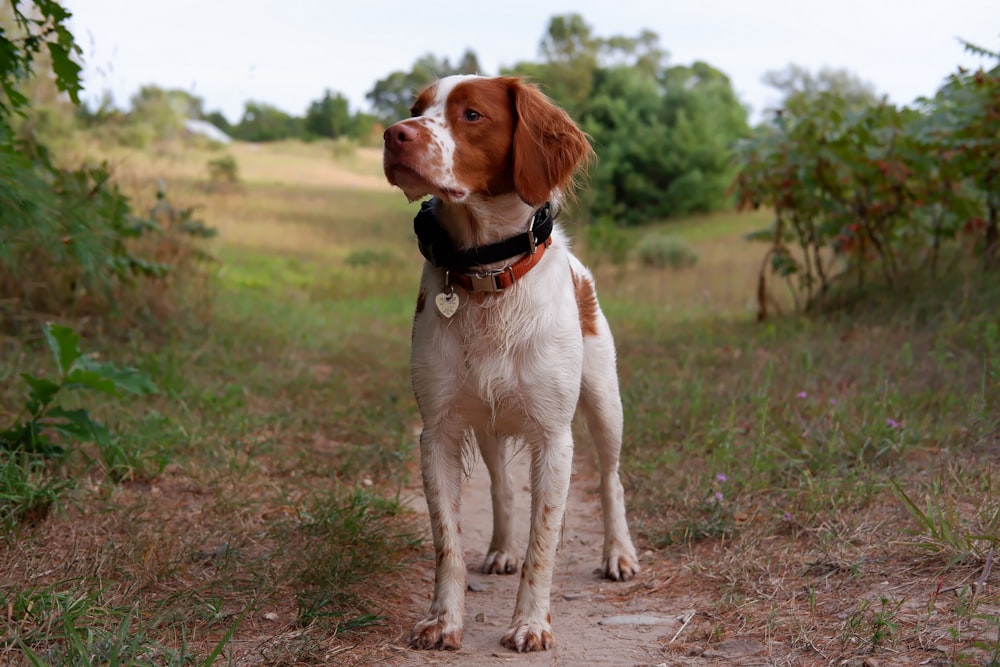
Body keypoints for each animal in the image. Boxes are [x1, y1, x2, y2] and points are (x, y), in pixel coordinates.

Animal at [382, 75, 640, 656]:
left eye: (473, 115)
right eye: (416, 108)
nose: (393, 134)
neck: (486, 279)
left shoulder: (554, 436)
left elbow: (543, 541)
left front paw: (530, 624)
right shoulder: (438, 431)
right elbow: (448, 541)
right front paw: (443, 621)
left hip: (604, 403)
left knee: (610, 478)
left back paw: (618, 553)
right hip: (490, 424)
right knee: (502, 486)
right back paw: (501, 549)